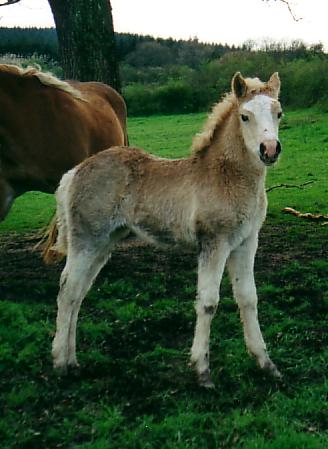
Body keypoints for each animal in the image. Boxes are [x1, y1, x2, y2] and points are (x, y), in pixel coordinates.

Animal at [48, 72, 282, 386]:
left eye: (279, 113)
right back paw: (61, 363)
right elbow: (208, 301)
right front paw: (202, 371)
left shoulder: (246, 242)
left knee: (78, 293)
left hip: (104, 243)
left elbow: (248, 298)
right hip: (86, 239)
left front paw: (266, 364)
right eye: (245, 116)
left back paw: (73, 362)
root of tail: (73, 173)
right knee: (68, 290)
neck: (226, 177)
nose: (269, 150)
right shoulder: (214, 242)